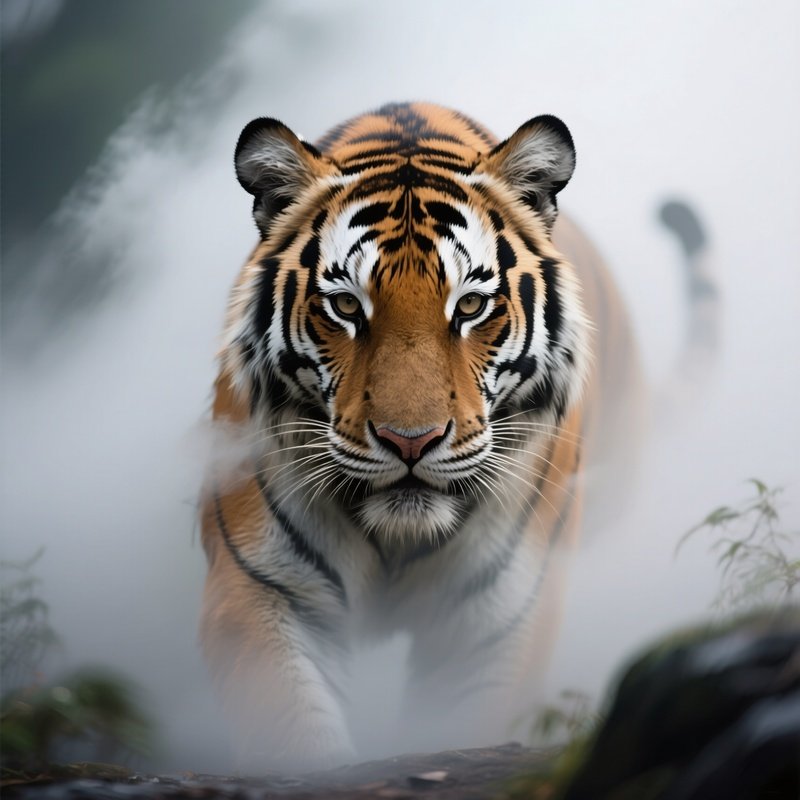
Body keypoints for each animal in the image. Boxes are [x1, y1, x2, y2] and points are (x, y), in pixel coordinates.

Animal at [200, 102, 643, 771]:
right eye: (346, 307)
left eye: (471, 306)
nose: (411, 441)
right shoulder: (259, 586)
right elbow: (292, 734)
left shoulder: (497, 616)